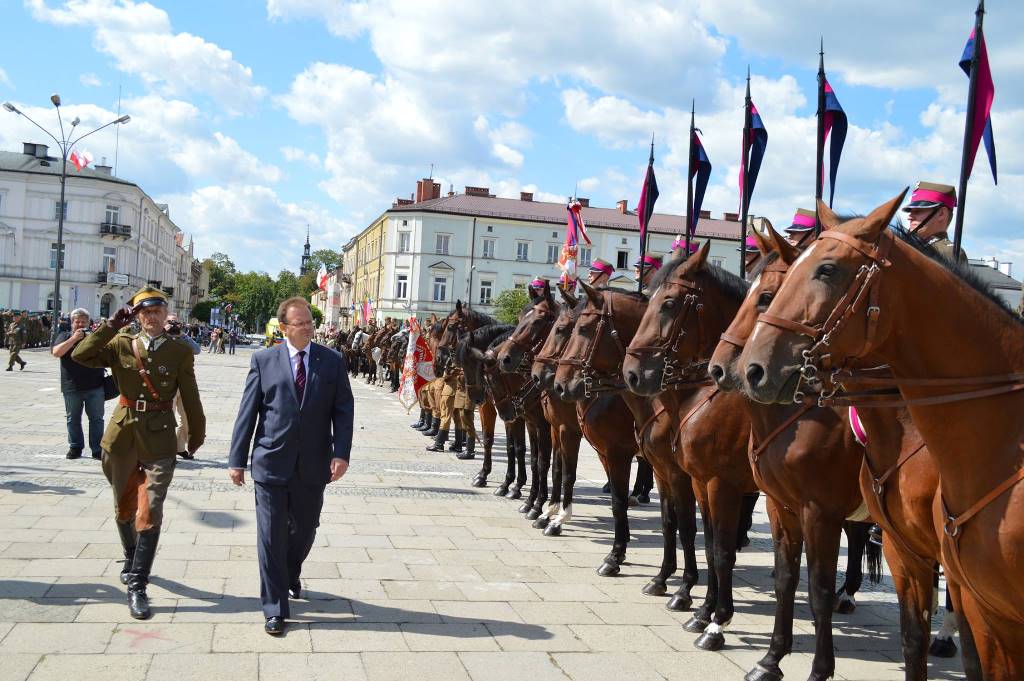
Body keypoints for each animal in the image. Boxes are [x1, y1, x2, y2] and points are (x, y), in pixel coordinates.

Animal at [741, 192, 1019, 679]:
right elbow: (793, 580)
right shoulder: (806, 513)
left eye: (827, 270)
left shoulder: (820, 511)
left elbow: (816, 588)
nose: (748, 370)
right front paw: (772, 658)